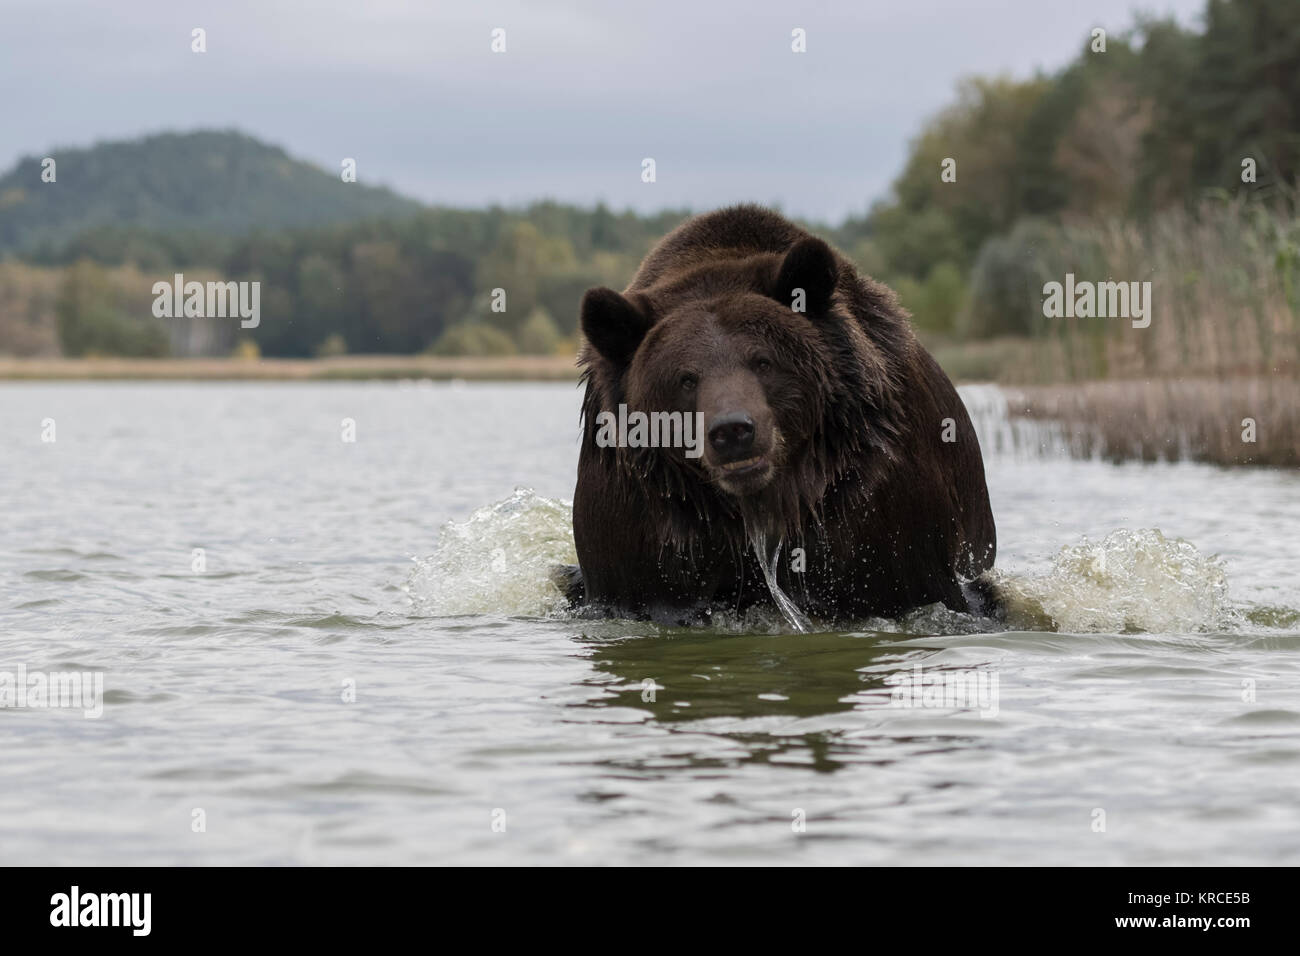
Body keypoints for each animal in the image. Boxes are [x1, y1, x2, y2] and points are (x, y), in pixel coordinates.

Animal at [561, 204, 996, 626]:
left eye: (763, 361)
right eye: (685, 378)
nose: (732, 431)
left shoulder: (872, 500)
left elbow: (911, 585)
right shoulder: (647, 519)